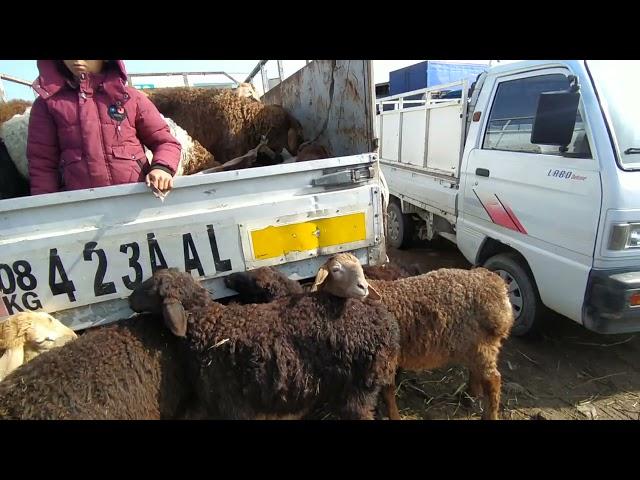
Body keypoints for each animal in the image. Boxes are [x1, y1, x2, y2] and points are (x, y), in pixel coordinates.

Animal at [129, 268, 400, 418]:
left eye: (151, 289)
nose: (130, 300)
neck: (211, 324)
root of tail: (387, 323)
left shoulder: (230, 402)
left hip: (359, 387)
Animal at [312, 253, 516, 422]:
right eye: (336, 269)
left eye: (361, 270)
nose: (362, 287)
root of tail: (496, 283)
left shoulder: (385, 357)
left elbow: (388, 390)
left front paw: (394, 415)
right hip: (472, 344)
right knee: (477, 372)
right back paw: (470, 396)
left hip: (483, 344)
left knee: (493, 380)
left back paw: (489, 414)